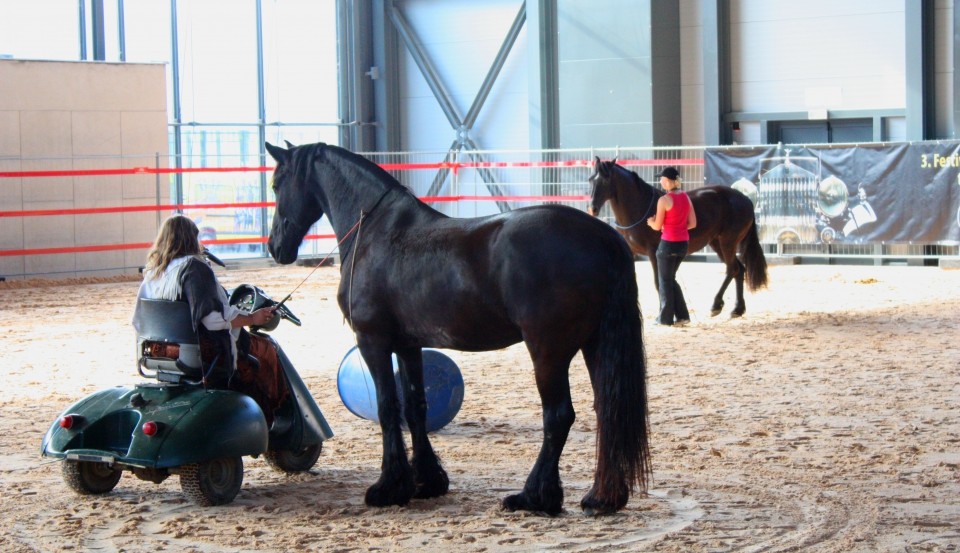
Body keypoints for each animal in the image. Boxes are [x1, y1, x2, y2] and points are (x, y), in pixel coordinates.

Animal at [266, 141, 648, 512]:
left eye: (276, 184)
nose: (275, 246)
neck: (377, 231)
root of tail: (603, 237)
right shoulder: (408, 345)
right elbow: (415, 407)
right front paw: (426, 482)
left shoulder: (372, 341)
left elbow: (388, 408)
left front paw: (389, 488)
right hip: (594, 344)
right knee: (607, 411)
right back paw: (601, 498)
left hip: (548, 353)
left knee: (558, 416)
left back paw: (534, 497)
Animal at [588, 157, 768, 316]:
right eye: (591, 180)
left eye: (606, 180)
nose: (592, 209)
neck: (640, 207)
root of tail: (745, 199)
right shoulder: (631, 253)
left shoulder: (654, 253)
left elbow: (659, 283)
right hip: (717, 243)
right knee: (739, 270)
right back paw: (738, 309)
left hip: (727, 242)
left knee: (733, 269)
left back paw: (716, 305)